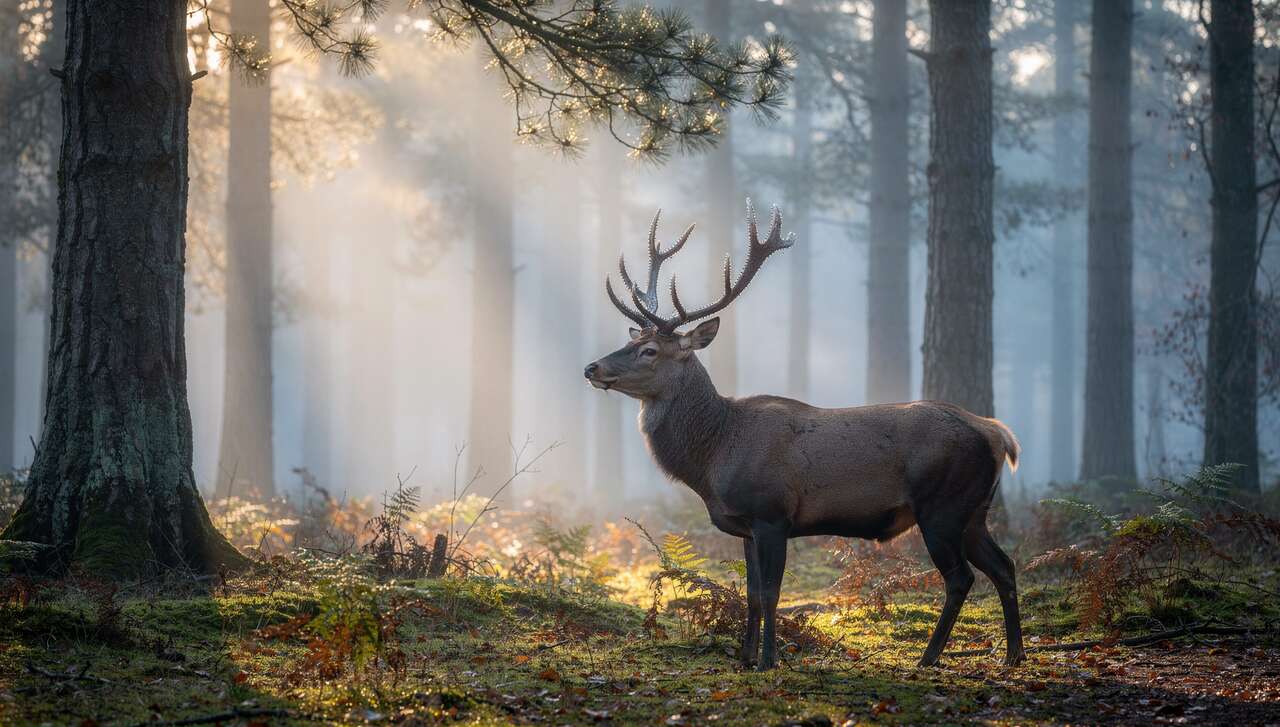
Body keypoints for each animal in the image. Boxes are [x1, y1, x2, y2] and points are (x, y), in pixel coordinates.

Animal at [584, 201, 1024, 671]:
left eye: (649, 351)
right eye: (632, 341)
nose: (592, 367)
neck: (715, 456)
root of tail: (997, 434)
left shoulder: (772, 513)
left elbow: (772, 594)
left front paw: (768, 660)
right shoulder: (746, 526)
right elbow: (752, 595)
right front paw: (745, 657)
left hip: (942, 505)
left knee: (961, 577)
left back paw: (929, 657)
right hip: (974, 511)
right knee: (1004, 566)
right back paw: (1013, 654)